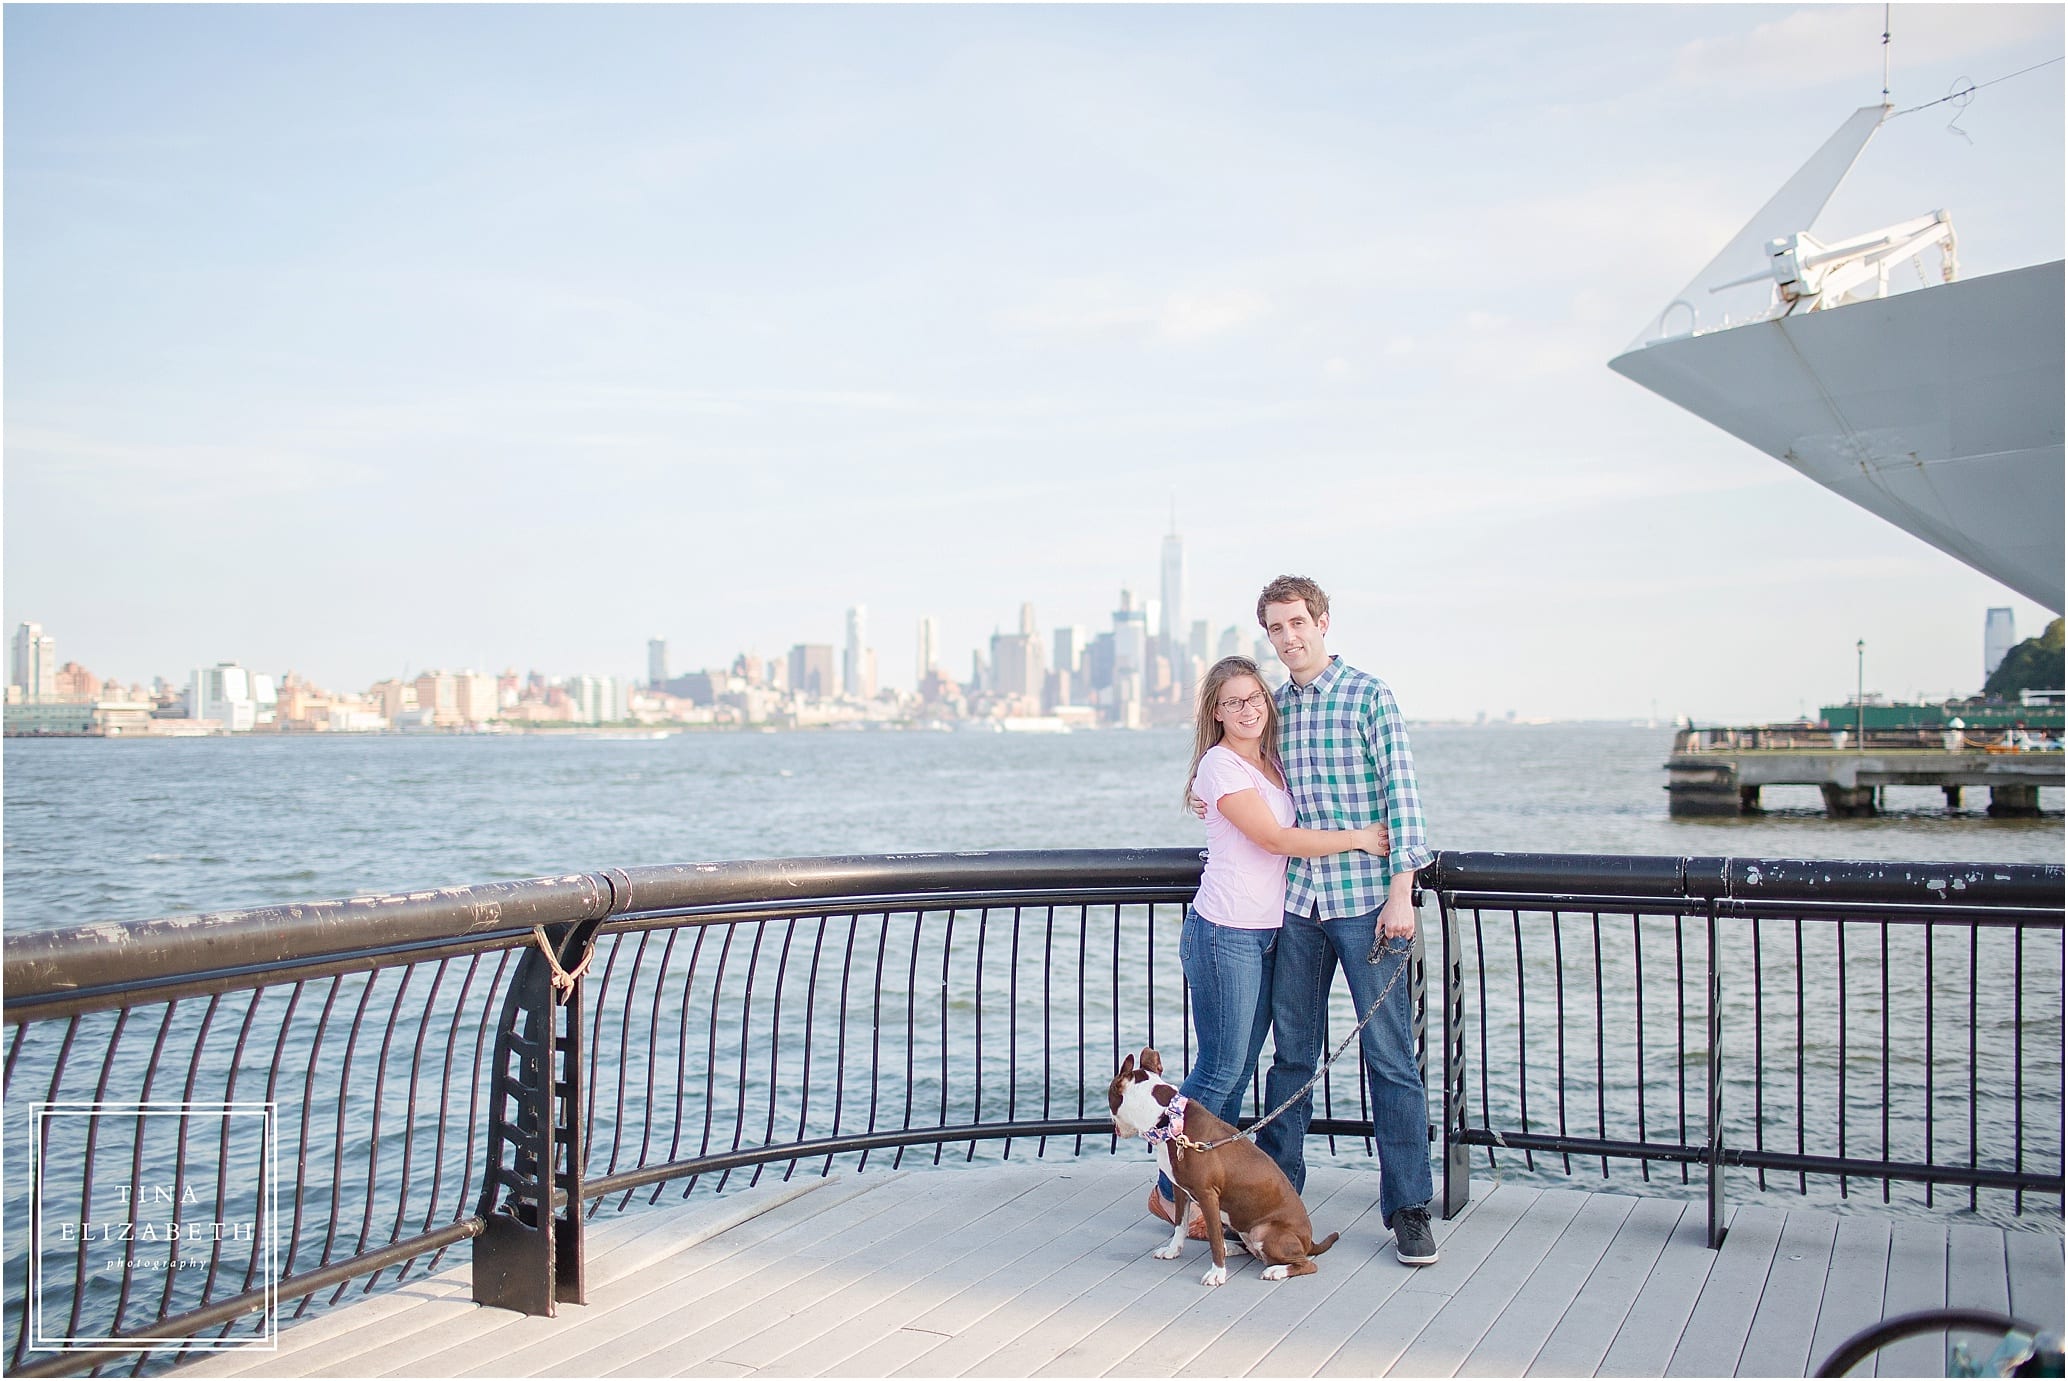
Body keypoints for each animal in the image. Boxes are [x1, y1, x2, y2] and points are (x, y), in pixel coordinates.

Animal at [1108, 1050, 1331, 1290]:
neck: (1170, 1119)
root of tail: (1309, 1241)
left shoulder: (1207, 1196)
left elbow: (1214, 1239)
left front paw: (1217, 1274)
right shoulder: (1180, 1189)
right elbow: (1180, 1224)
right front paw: (1173, 1250)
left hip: (1265, 1231)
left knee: (1306, 1264)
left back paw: (1275, 1271)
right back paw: (1232, 1247)